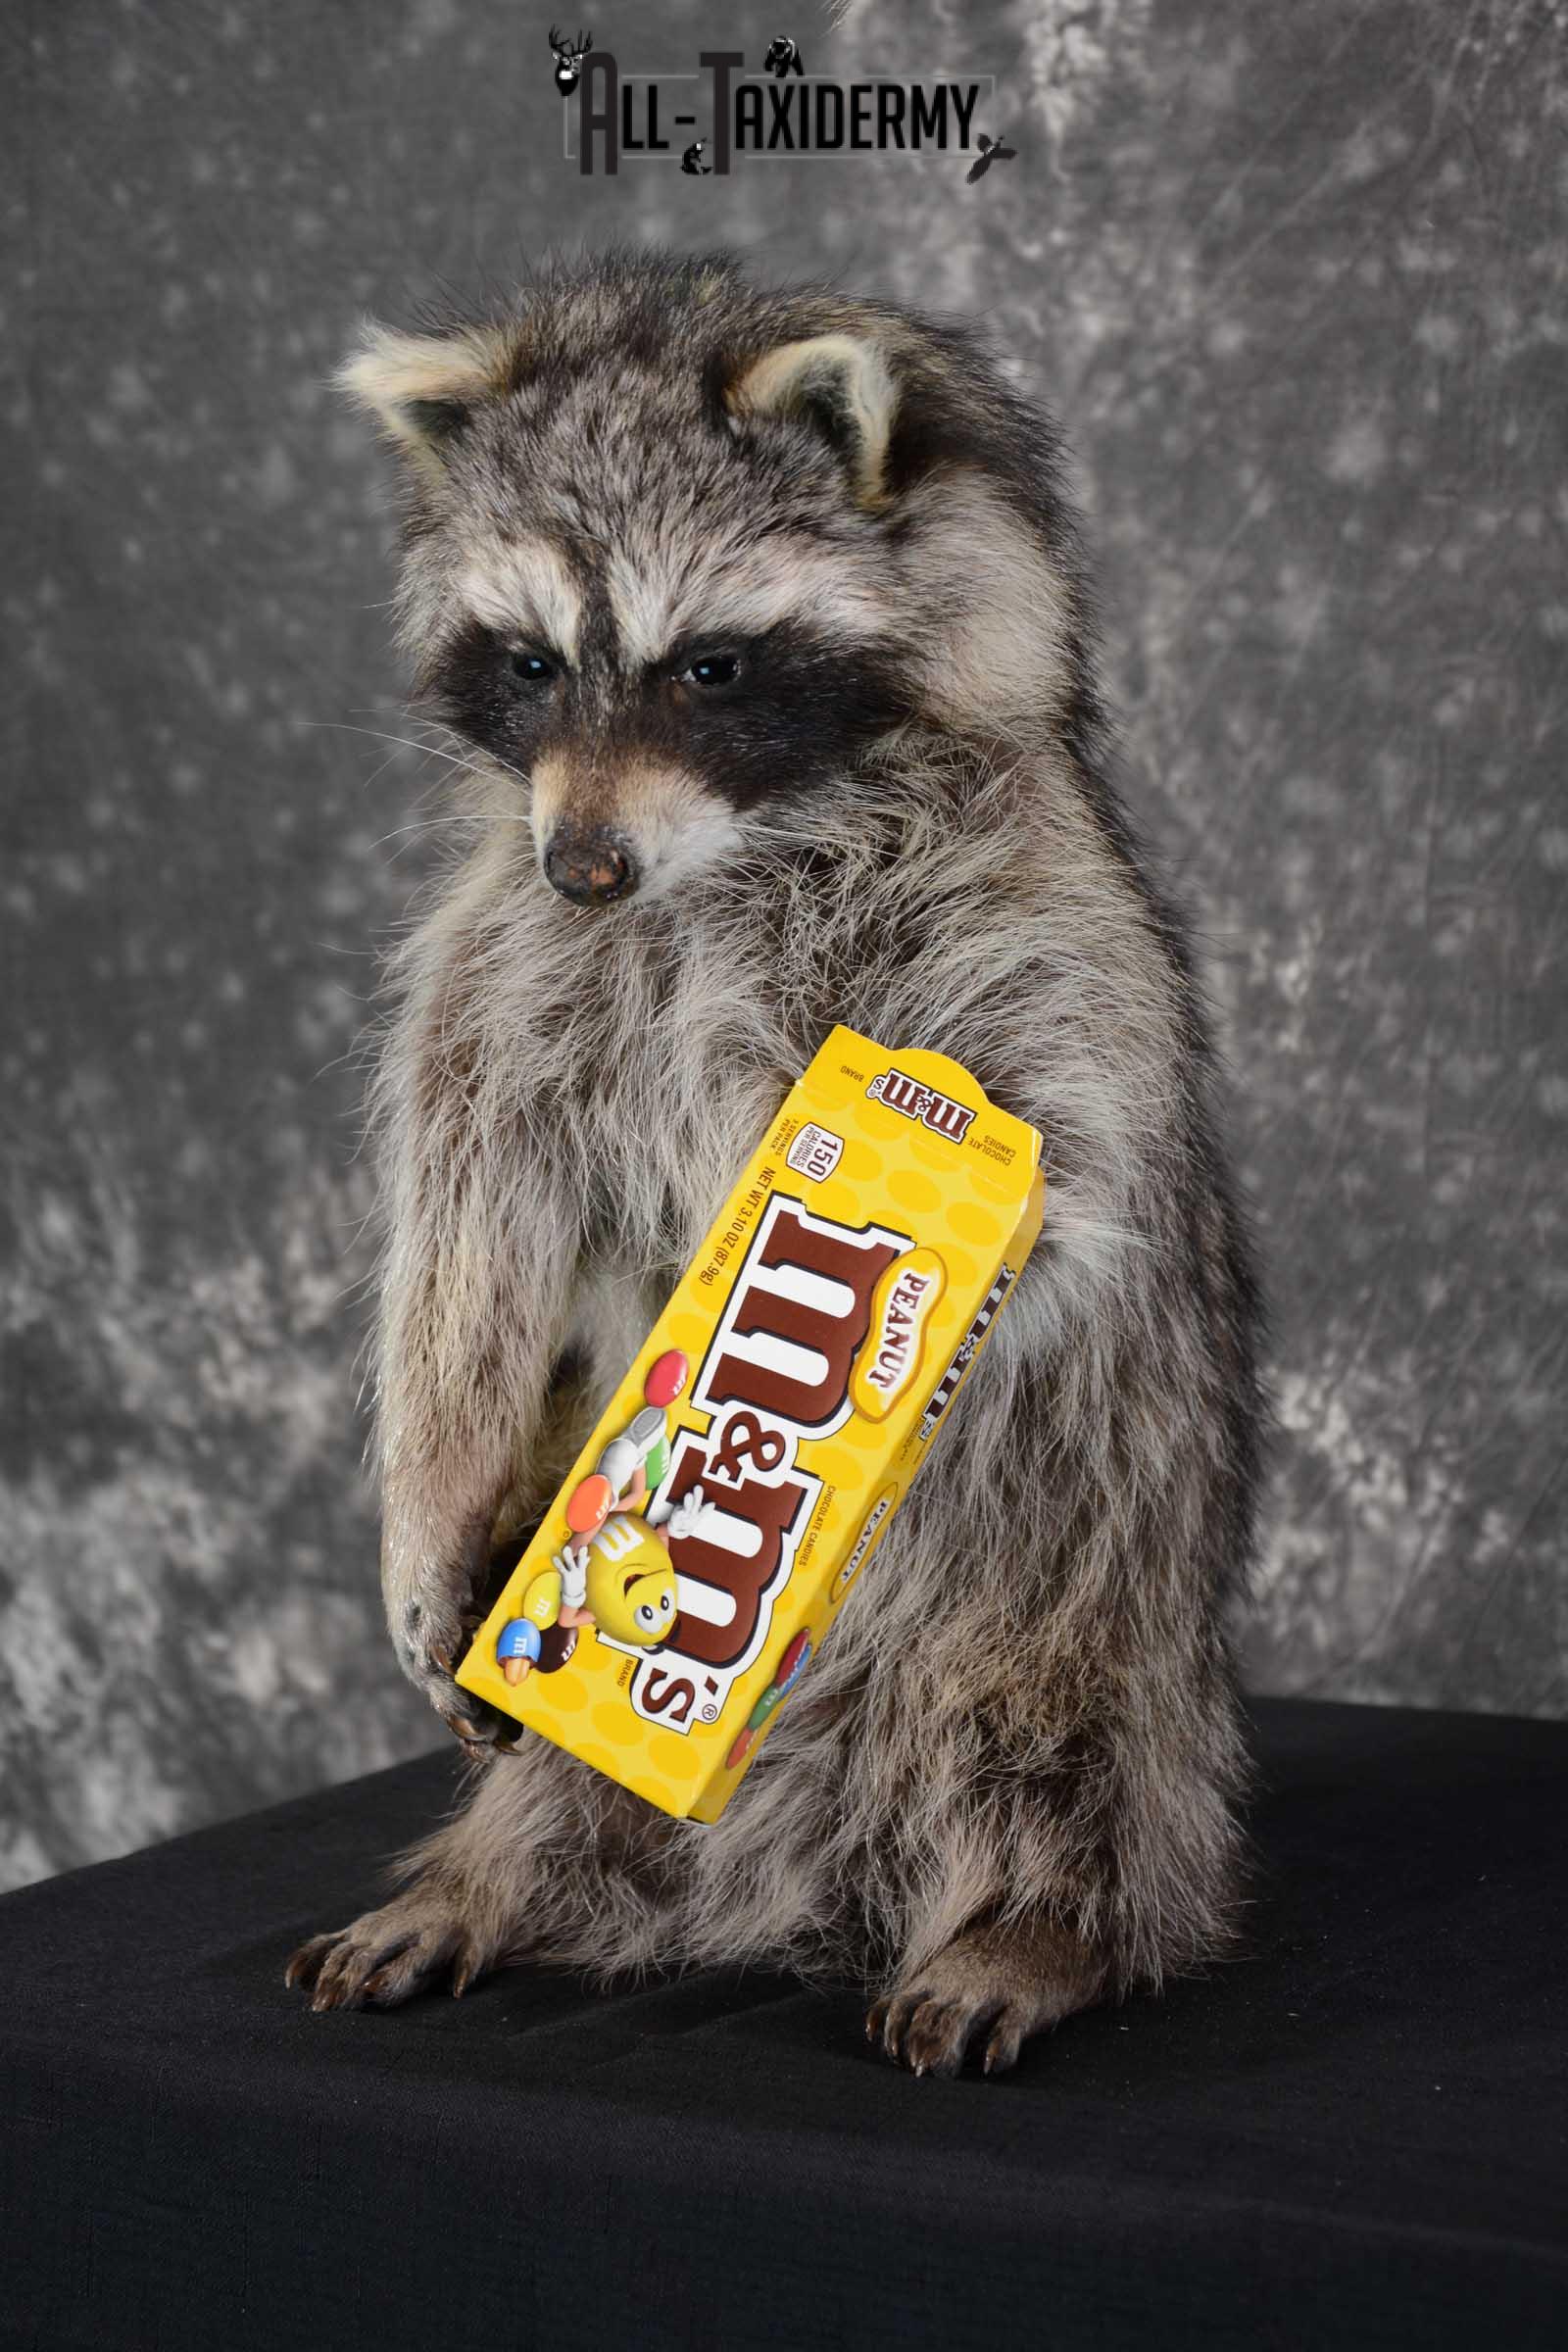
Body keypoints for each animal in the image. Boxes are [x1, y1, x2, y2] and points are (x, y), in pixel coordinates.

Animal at [286, 250, 1269, 2077]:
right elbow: (470, 1225)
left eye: (712, 669)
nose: (589, 864)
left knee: (1054, 1740)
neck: (716, 855)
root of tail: (801, 1881)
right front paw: (430, 1511)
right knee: (553, 1772)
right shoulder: (505, 953)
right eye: (531, 665)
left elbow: (1070, 1159)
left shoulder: (1031, 908)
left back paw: (1041, 1921)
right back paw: (492, 1878)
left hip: (1091, 1591)